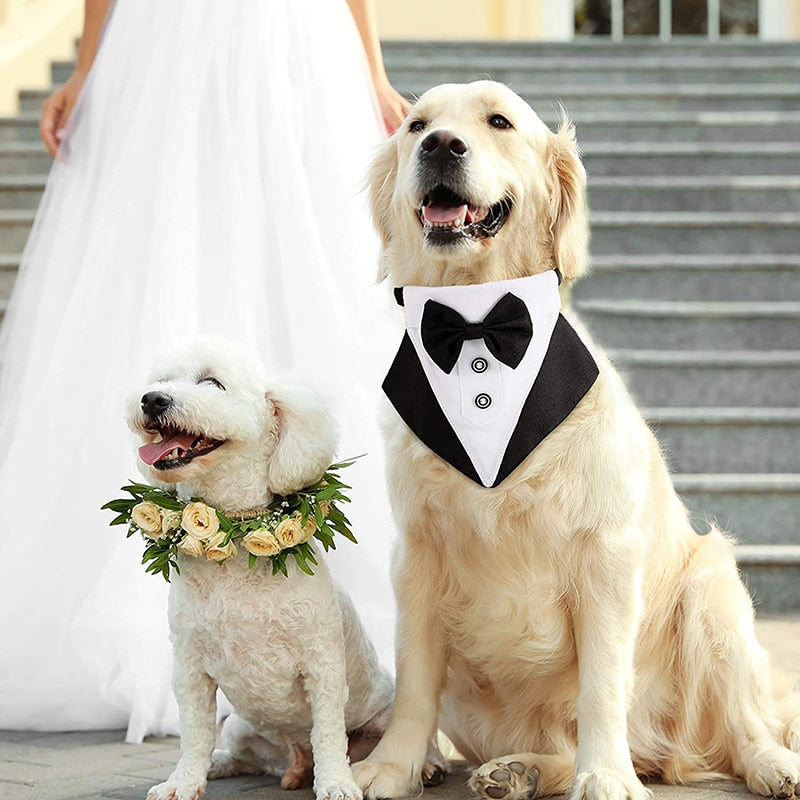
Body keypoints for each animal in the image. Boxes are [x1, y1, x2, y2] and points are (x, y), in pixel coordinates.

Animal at [124, 340, 394, 800]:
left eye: (213, 383)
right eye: (161, 381)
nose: (152, 400)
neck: (233, 538)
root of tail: (294, 760)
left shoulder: (322, 666)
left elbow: (328, 733)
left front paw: (336, 784)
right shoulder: (190, 667)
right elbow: (194, 733)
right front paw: (183, 781)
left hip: (385, 711)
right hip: (238, 725)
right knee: (240, 753)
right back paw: (224, 765)